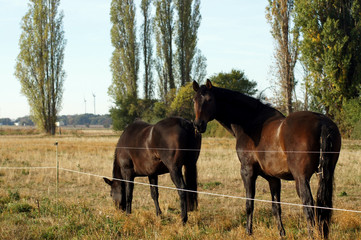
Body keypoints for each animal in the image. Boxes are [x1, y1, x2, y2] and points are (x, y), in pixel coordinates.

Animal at [193, 79, 338, 237]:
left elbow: (249, 203)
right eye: (194, 100)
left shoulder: (247, 171)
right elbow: (276, 207)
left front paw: (248, 232)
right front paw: (281, 233)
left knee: (308, 206)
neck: (251, 122)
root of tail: (322, 122)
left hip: (301, 178)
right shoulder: (273, 178)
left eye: (209, 99)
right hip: (325, 175)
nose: (198, 125)